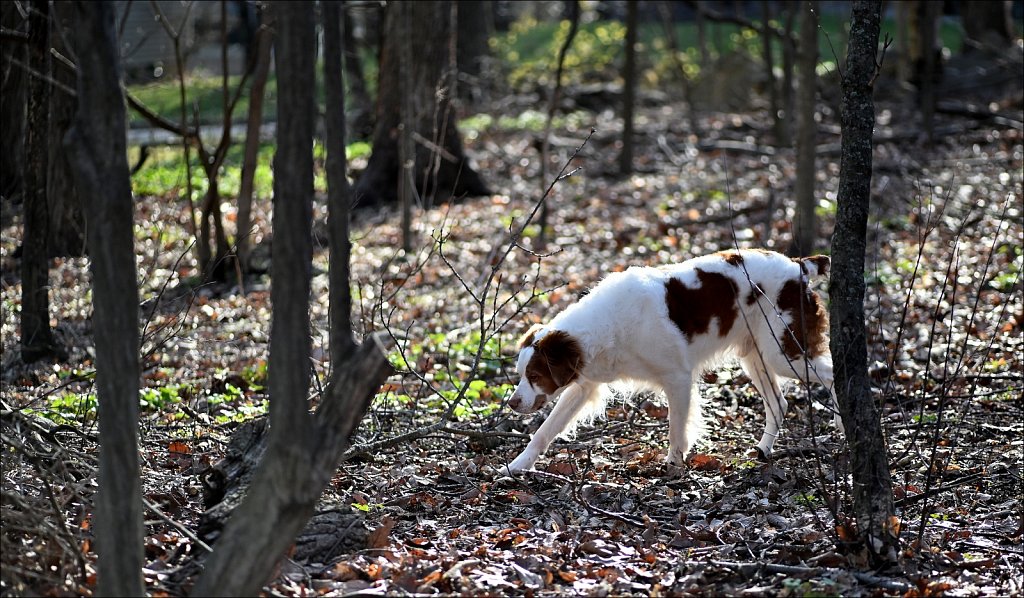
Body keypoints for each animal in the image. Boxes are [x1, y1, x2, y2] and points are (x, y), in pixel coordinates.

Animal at [505, 247, 847, 471]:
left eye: (534, 376)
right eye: (521, 375)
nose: (511, 403)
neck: (610, 324)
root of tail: (798, 266)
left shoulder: (678, 377)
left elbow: (677, 428)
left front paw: (674, 465)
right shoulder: (583, 386)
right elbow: (545, 430)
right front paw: (516, 466)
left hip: (782, 352)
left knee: (832, 375)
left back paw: (844, 427)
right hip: (757, 357)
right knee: (779, 403)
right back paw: (763, 450)